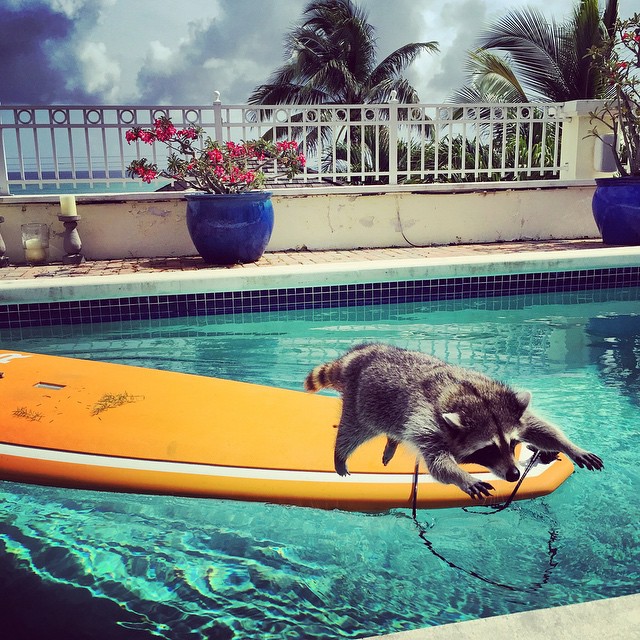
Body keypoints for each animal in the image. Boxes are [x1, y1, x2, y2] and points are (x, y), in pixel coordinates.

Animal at [302, 342, 604, 498]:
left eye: (512, 444)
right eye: (488, 449)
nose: (514, 475)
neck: (469, 396)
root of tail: (359, 354)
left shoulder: (508, 407)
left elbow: (540, 428)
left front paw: (569, 445)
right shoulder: (426, 423)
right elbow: (438, 464)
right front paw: (463, 476)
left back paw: (391, 442)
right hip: (362, 403)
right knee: (352, 430)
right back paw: (341, 453)